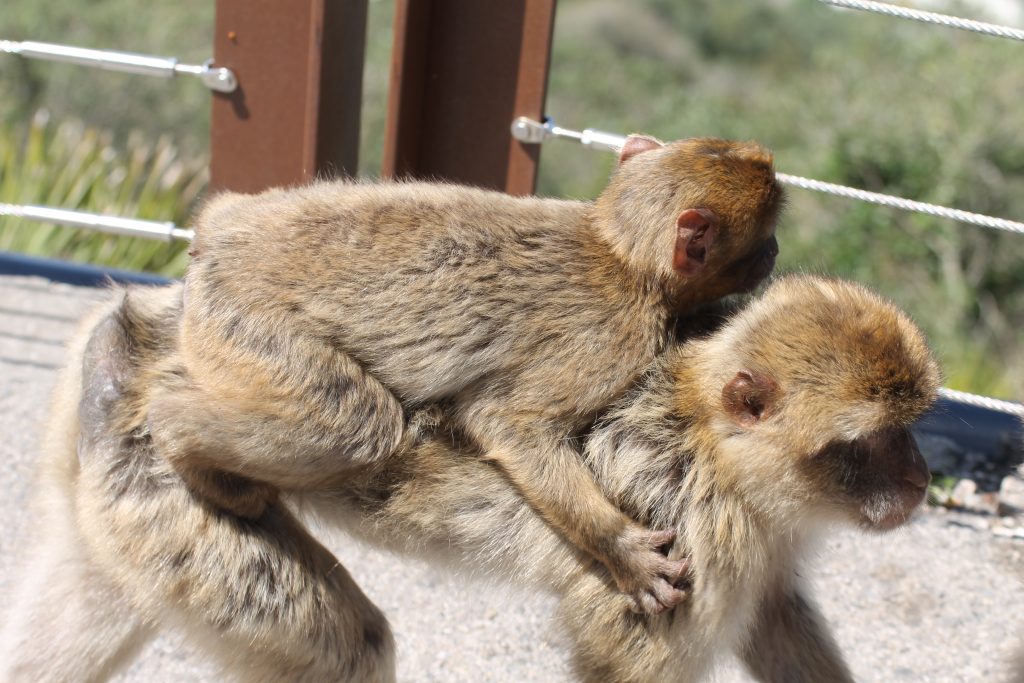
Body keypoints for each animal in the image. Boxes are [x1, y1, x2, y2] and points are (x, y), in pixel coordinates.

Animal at [0, 272, 937, 683]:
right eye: (872, 440)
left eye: (913, 426)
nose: (922, 476)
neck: (715, 448)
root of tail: (132, 333)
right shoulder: (694, 532)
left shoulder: (759, 541)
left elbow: (777, 622)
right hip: (174, 488)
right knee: (348, 649)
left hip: (116, 490)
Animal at [148, 135, 782, 614]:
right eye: (764, 234)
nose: (775, 251)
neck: (619, 251)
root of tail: (217, 235)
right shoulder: (615, 339)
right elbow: (508, 422)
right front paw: (622, 551)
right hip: (246, 323)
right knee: (356, 424)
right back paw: (183, 439)